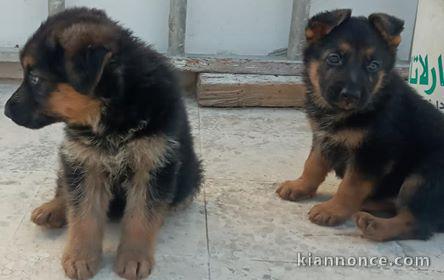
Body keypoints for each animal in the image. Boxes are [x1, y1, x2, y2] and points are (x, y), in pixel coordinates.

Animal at [2, 7, 201, 278]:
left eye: (34, 78)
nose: (5, 111)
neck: (111, 113)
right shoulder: (85, 162)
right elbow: (83, 215)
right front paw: (80, 257)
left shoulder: (153, 164)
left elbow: (141, 216)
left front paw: (134, 257)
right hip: (70, 157)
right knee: (65, 187)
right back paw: (53, 208)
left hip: (190, 173)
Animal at [278, 8, 444, 241]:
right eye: (334, 58)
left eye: (373, 66)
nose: (351, 95)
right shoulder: (323, 138)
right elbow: (312, 164)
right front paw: (300, 186)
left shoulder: (373, 153)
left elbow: (351, 185)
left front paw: (333, 210)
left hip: (423, 177)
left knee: (418, 223)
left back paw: (374, 225)